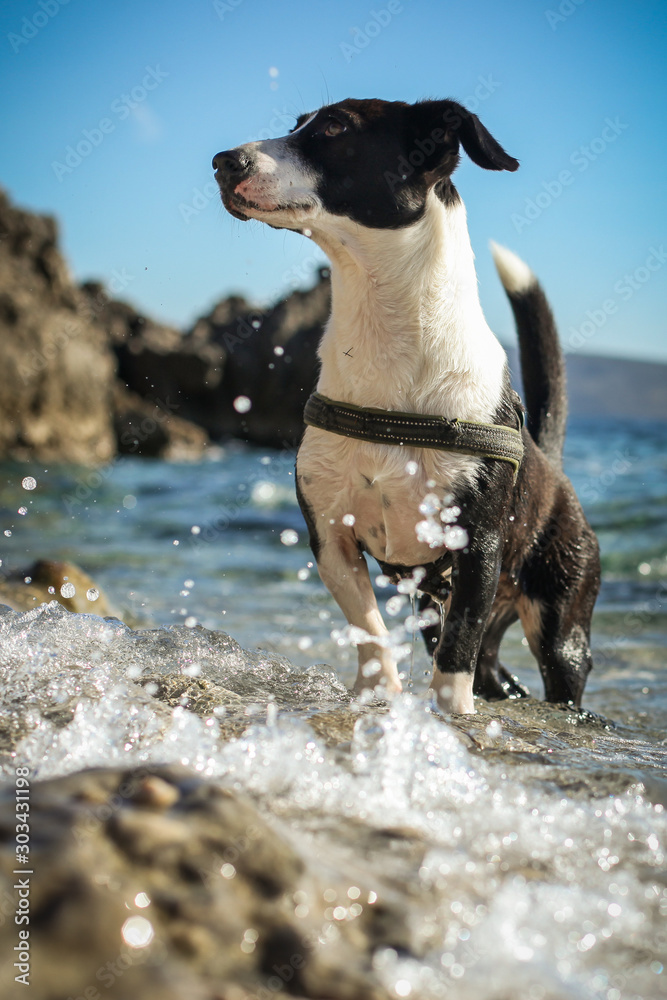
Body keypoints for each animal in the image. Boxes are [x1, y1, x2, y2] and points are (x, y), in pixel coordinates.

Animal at [217, 99, 604, 712]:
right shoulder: (330, 535)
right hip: (439, 602)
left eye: (335, 127)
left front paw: (448, 714)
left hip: (562, 618)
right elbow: (368, 625)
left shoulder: (477, 549)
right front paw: (378, 692)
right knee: (493, 672)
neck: (389, 336)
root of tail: (553, 466)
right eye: (298, 122)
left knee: (545, 667)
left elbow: (457, 651)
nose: (223, 161)